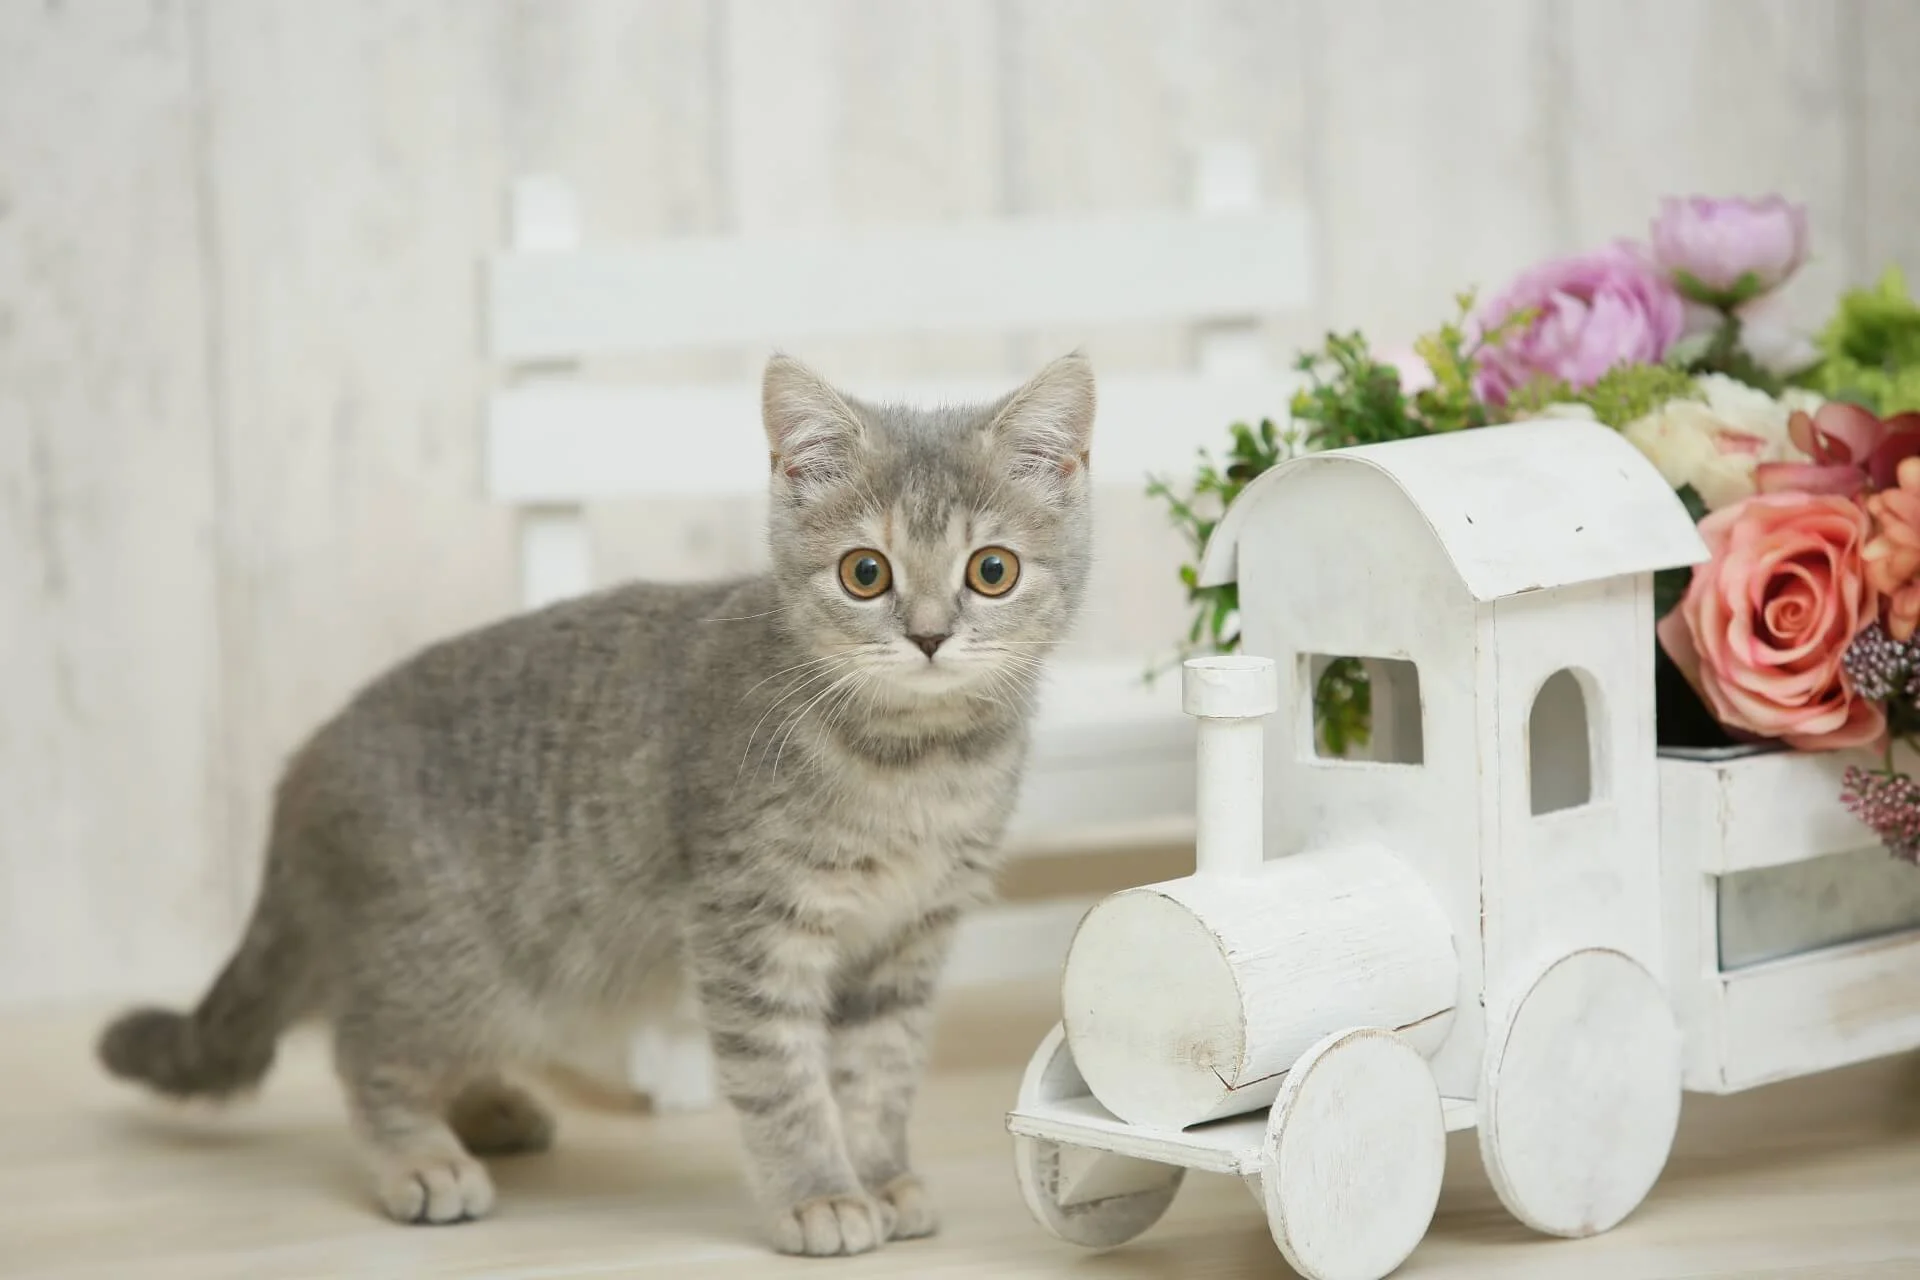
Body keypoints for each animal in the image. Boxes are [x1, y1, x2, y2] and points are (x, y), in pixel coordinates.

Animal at [93, 351, 1098, 1258]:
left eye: (993, 570)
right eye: (865, 573)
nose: (929, 636)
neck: (917, 767)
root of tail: (304, 767)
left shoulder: (906, 945)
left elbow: (879, 1073)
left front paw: (882, 1173)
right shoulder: (749, 928)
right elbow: (784, 1079)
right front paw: (819, 1192)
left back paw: (492, 1108)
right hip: (447, 962)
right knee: (367, 1051)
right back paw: (423, 1158)